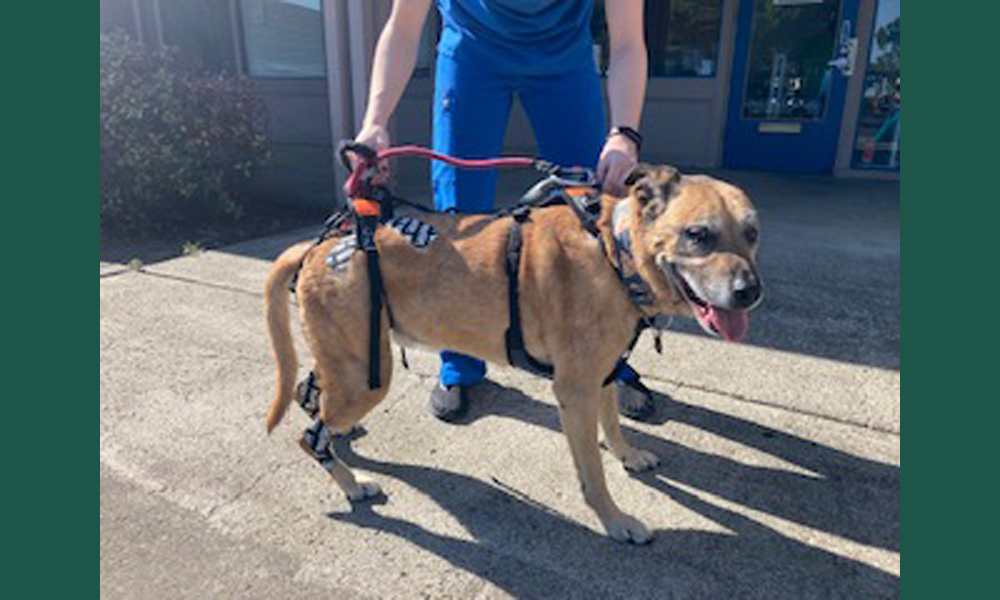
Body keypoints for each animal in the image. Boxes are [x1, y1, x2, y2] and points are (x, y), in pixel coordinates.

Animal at [262, 164, 760, 544]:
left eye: (752, 232)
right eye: (698, 234)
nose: (750, 292)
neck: (616, 252)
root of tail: (319, 247)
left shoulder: (601, 377)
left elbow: (614, 427)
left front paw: (628, 455)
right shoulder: (576, 392)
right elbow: (593, 476)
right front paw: (615, 520)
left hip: (349, 363)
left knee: (310, 395)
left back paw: (341, 441)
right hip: (367, 375)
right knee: (309, 435)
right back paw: (350, 483)